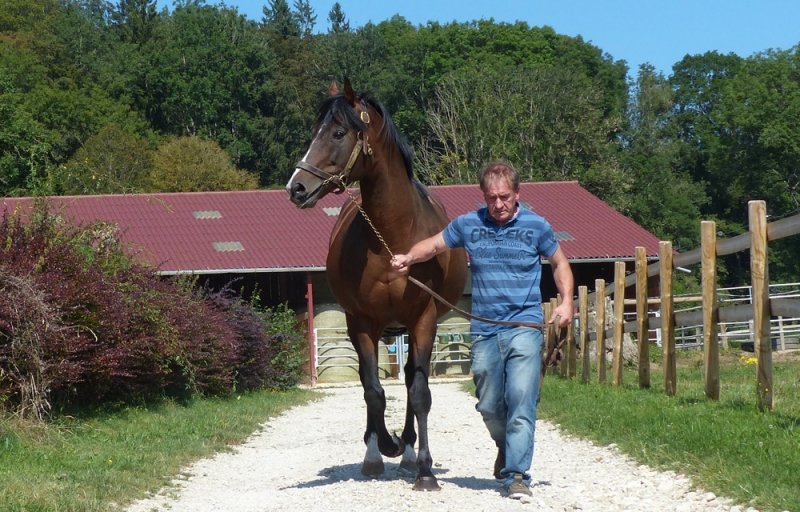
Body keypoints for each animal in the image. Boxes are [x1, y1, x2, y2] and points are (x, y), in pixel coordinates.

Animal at [286, 80, 467, 491]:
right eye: (316, 131)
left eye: (338, 133)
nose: (296, 188)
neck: (393, 239)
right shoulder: (362, 323)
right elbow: (373, 391)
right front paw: (380, 448)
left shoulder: (424, 320)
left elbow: (419, 394)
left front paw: (425, 470)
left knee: (412, 381)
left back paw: (411, 452)